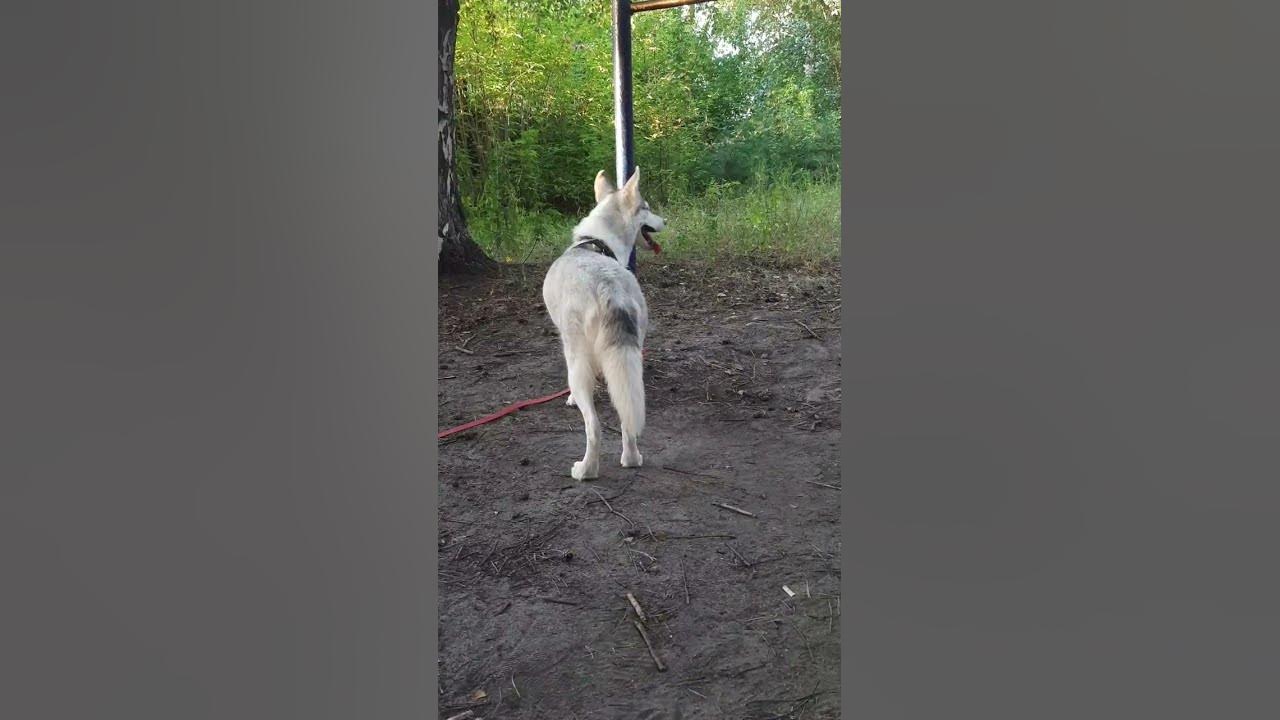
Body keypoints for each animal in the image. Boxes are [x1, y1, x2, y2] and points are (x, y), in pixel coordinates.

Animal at [540, 167, 665, 479]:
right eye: (647, 208)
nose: (666, 221)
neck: (597, 245)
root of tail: (609, 289)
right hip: (630, 359)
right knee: (626, 417)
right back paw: (631, 458)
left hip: (576, 362)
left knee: (593, 426)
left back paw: (585, 469)